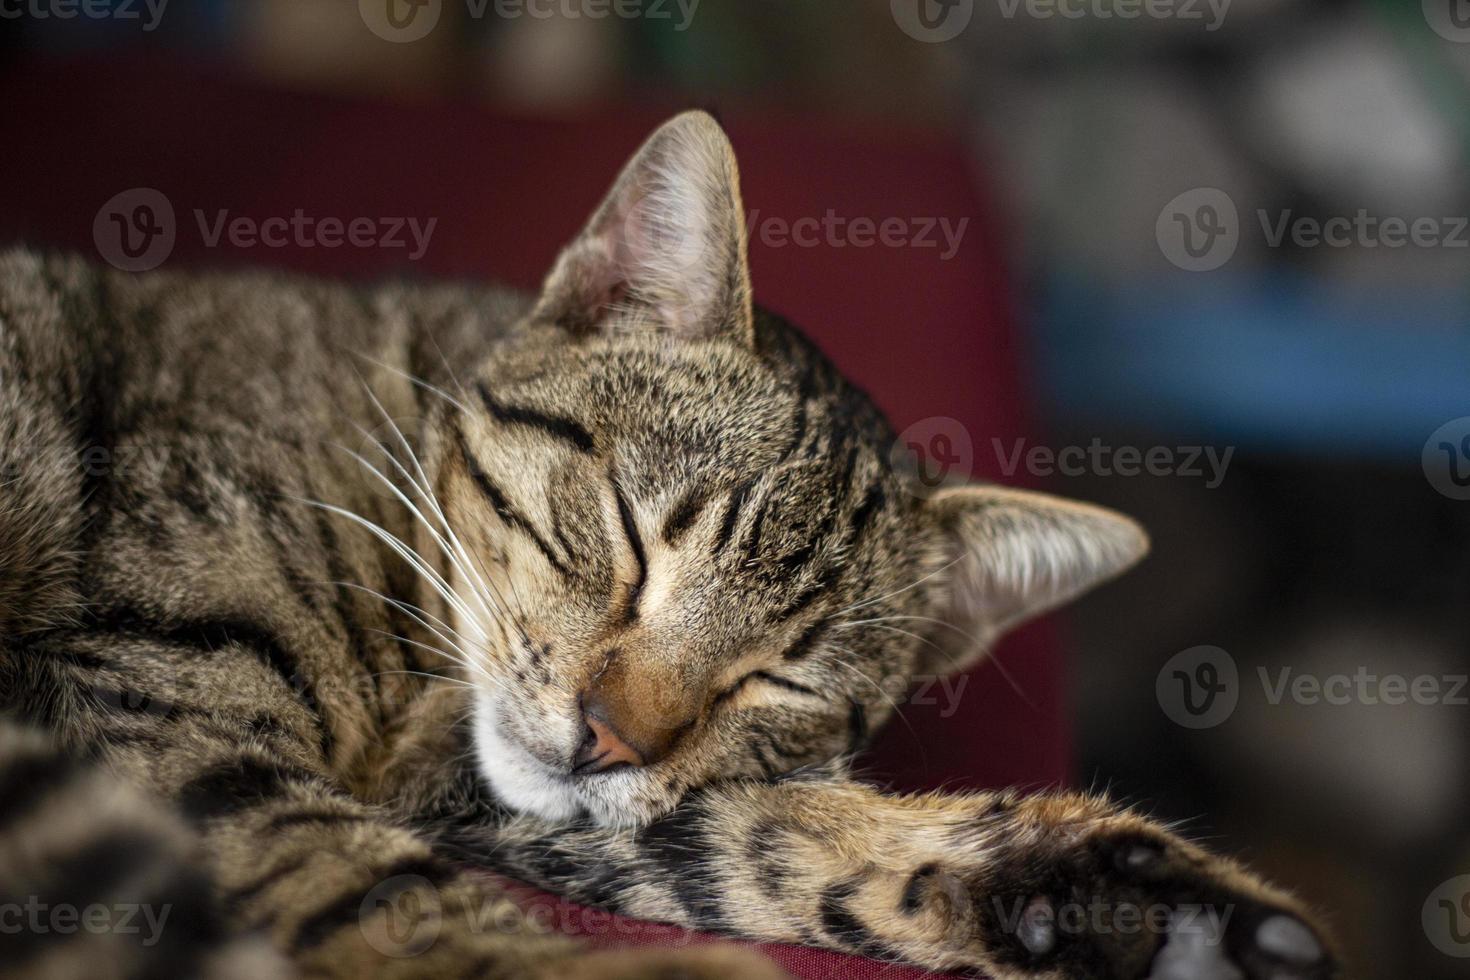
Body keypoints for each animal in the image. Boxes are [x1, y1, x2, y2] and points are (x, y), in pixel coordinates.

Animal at [0, 110, 1334, 975]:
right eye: (637, 541)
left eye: (778, 677)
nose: (609, 738)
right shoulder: (161, 698)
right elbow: (363, 876)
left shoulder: (539, 802)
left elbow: (754, 841)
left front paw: (1139, 905)